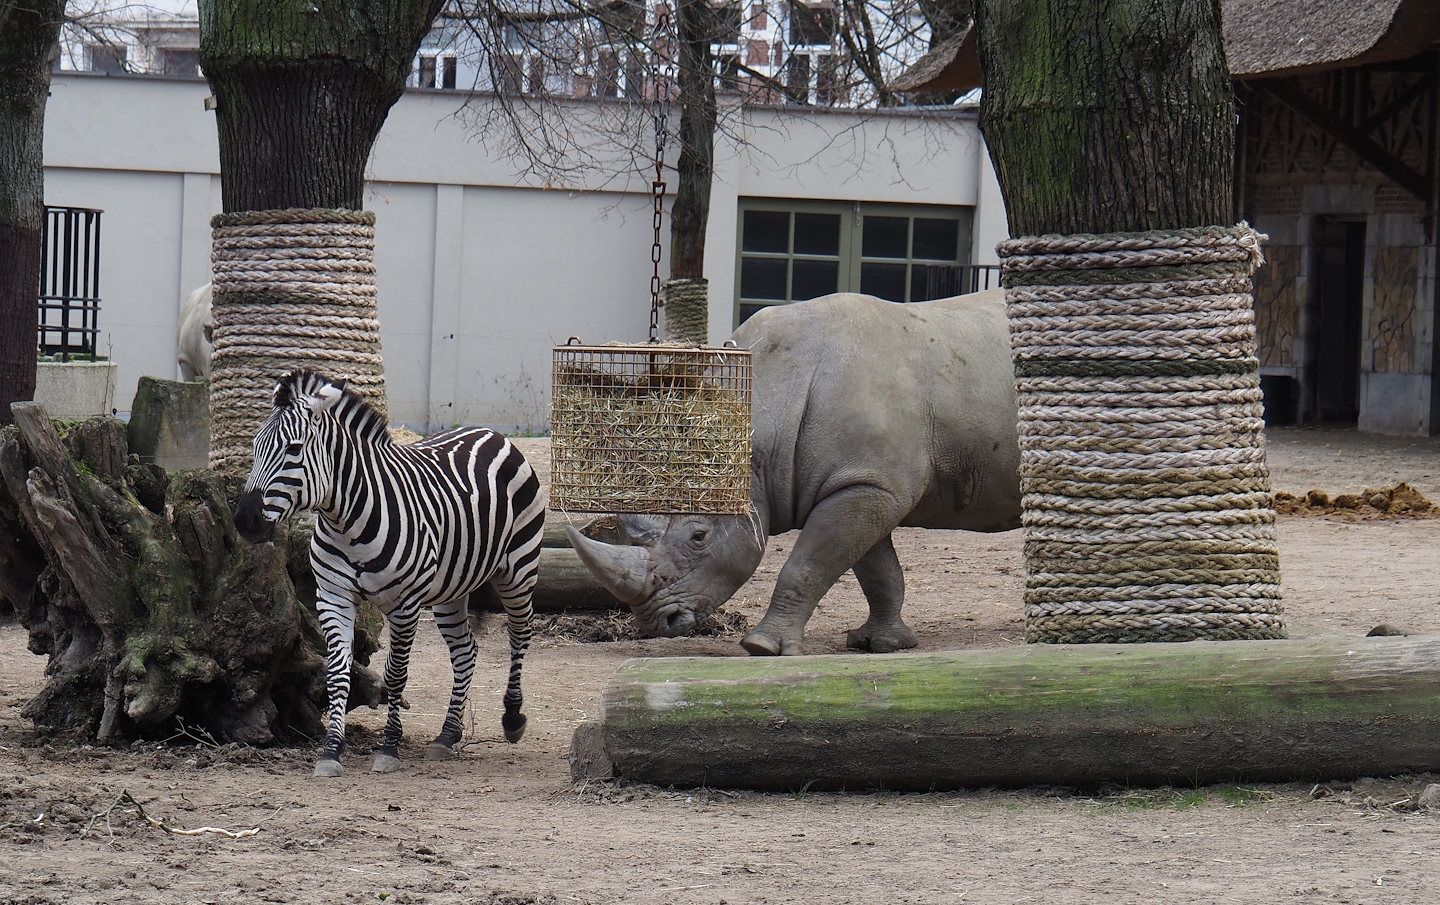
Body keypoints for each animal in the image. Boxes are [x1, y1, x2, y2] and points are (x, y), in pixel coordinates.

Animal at [232, 370, 543, 777]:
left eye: (294, 449)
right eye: (254, 446)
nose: (244, 520)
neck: (347, 520)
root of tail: (491, 433)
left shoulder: (404, 603)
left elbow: (395, 676)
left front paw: (389, 748)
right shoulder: (332, 597)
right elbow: (338, 673)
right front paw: (331, 752)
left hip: (518, 570)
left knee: (519, 635)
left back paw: (512, 717)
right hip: (451, 587)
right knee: (465, 651)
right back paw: (447, 736)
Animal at [567, 289, 1023, 655]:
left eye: (699, 537)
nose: (656, 623)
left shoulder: (867, 484)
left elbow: (806, 565)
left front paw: (762, 647)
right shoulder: (867, 482)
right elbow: (876, 570)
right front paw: (881, 644)